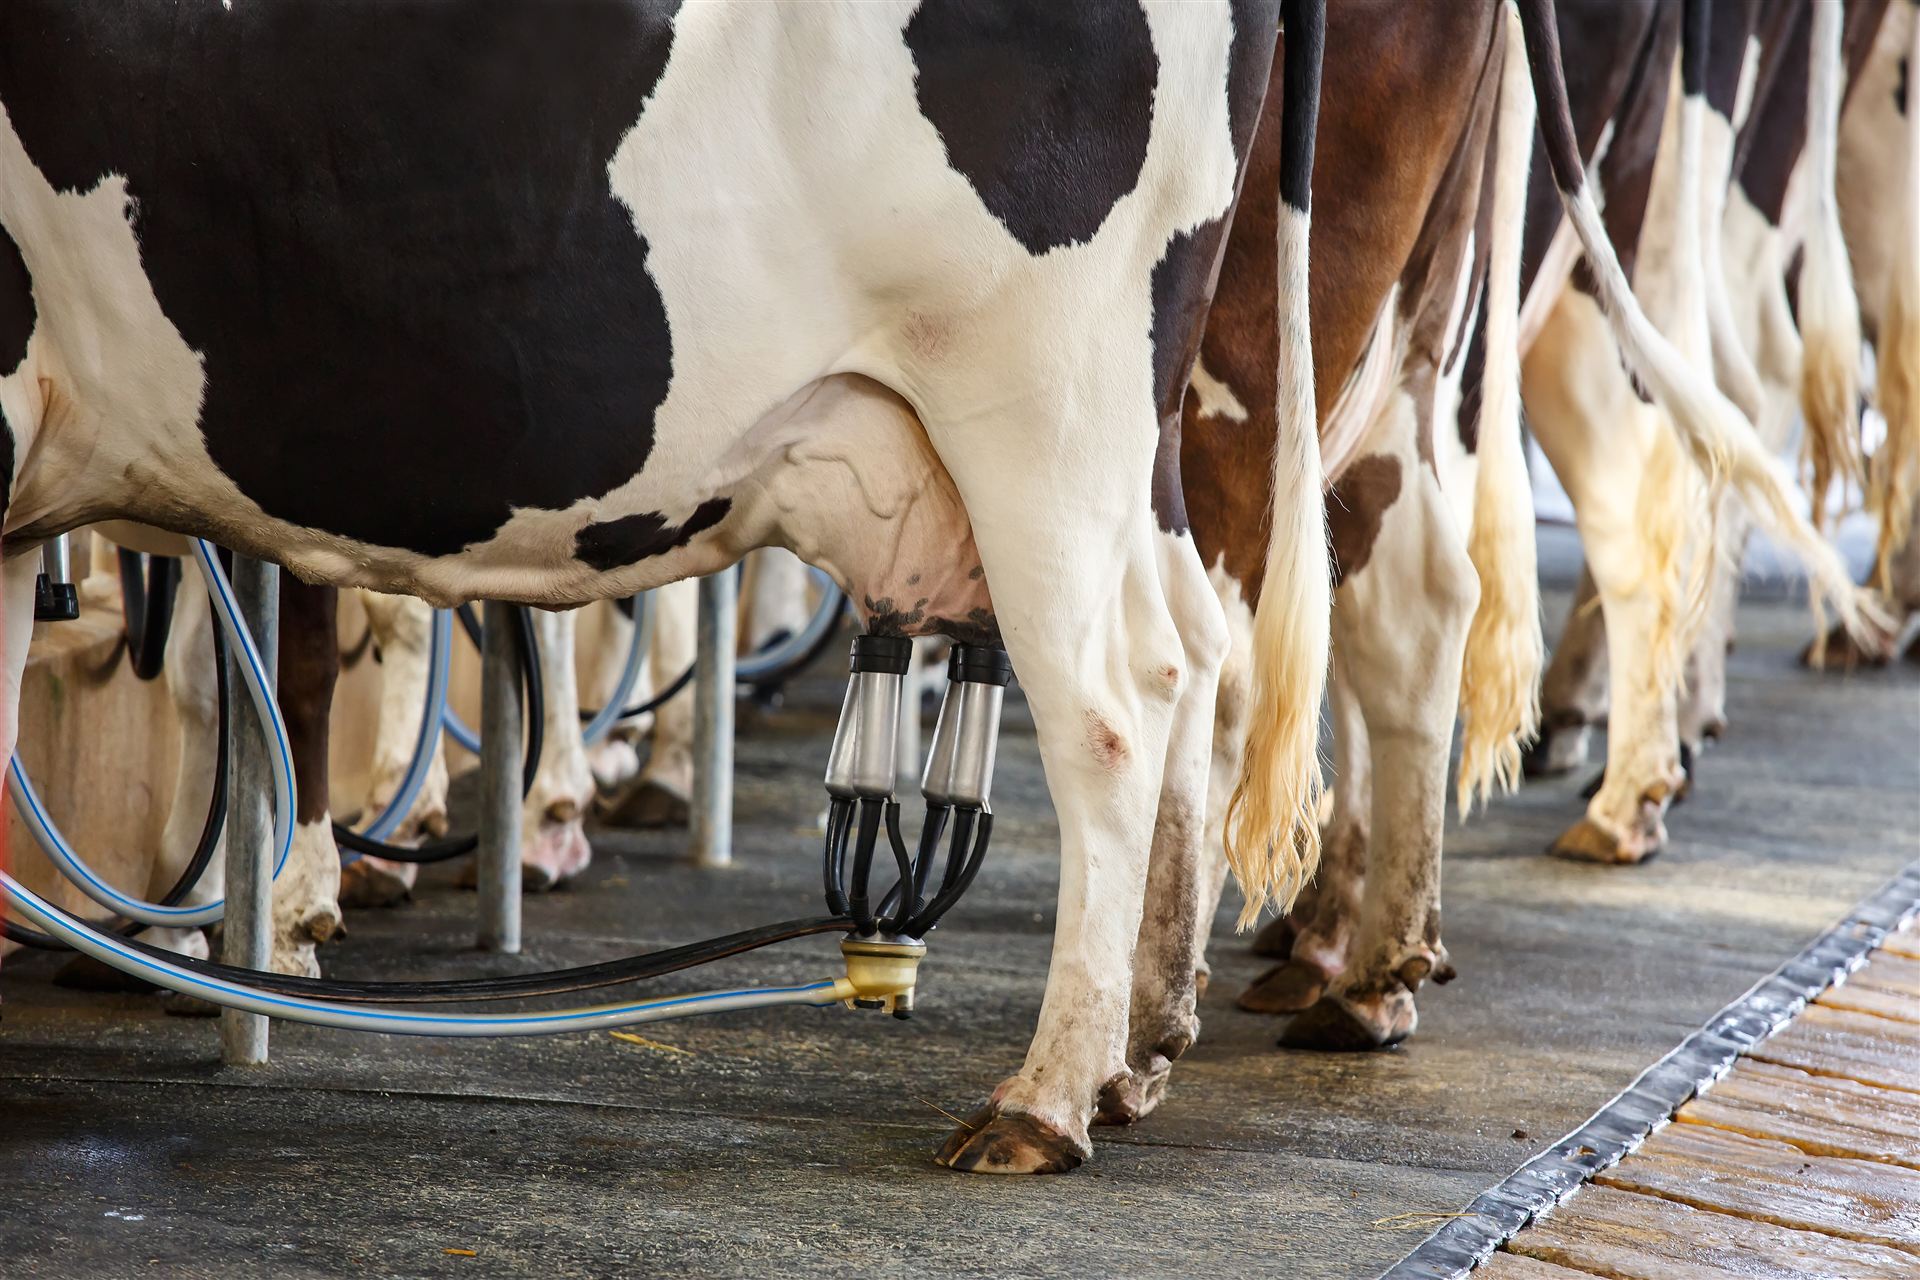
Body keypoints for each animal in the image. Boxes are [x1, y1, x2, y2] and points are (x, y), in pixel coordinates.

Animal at [0, 0, 1327, 1174]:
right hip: (1133, 443)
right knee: (1199, 648)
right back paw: (1137, 1048)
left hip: (1041, 404)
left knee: (1114, 704)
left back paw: (1044, 1099)